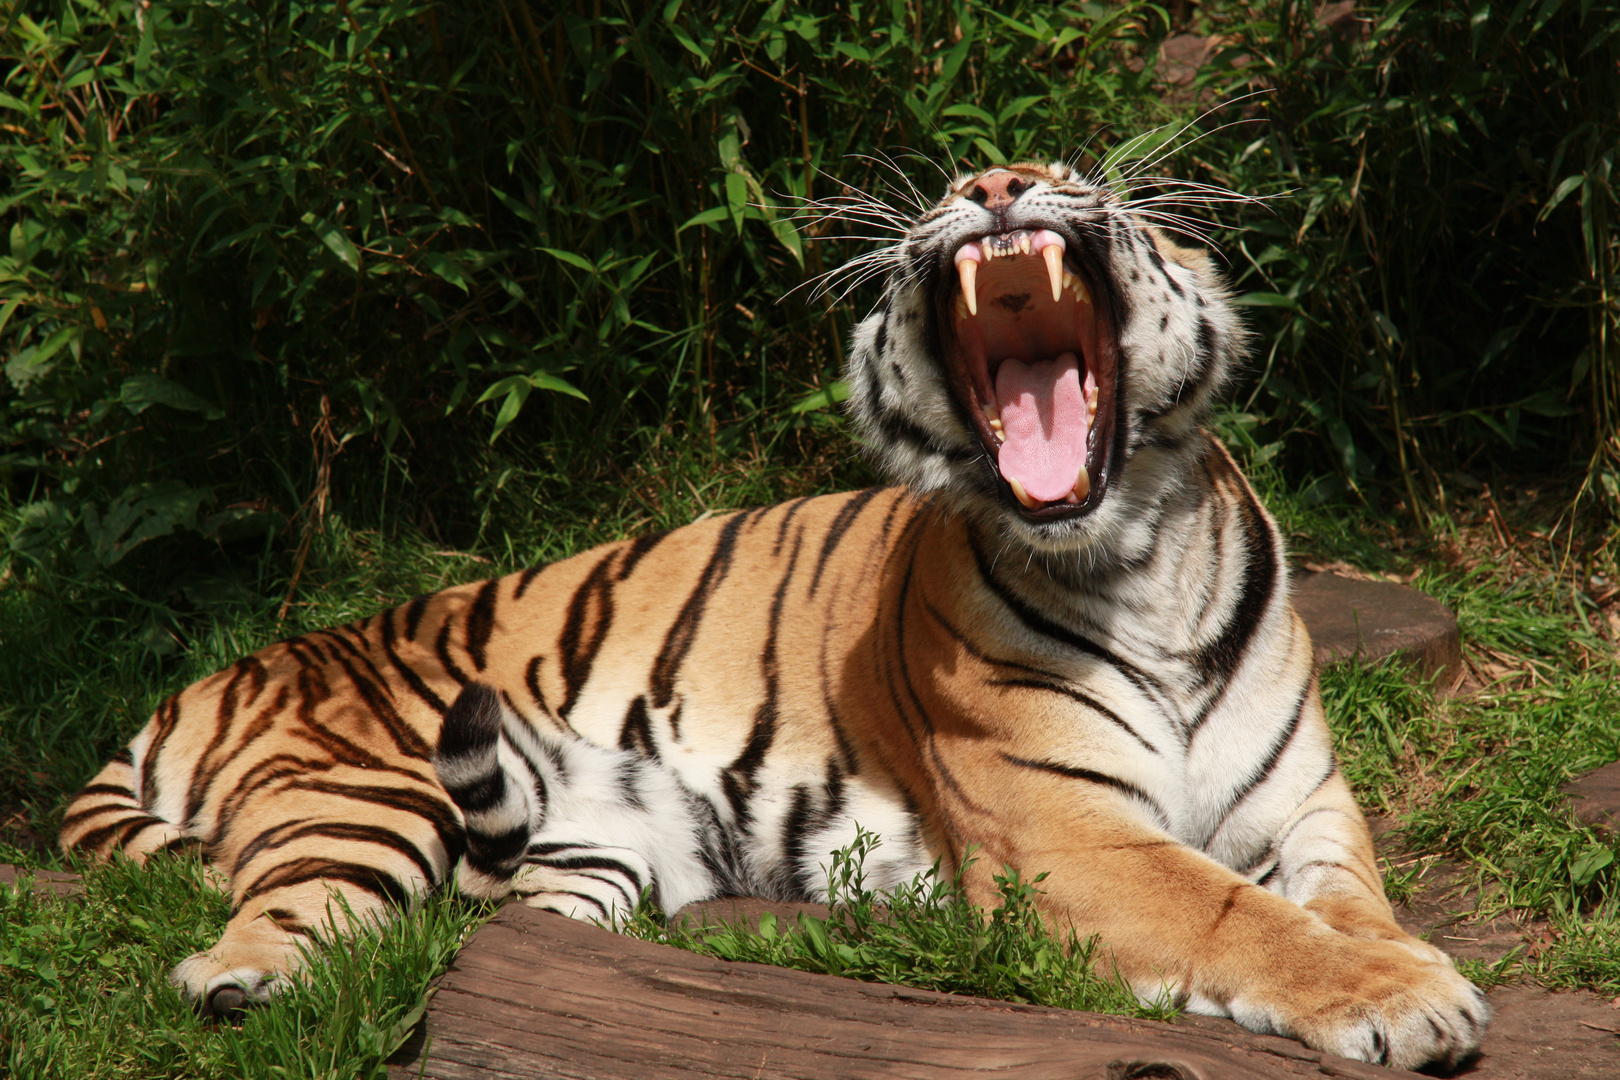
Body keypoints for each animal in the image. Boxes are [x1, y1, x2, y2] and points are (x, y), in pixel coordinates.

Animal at [57, 156, 1483, 1068]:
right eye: (959, 187)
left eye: (1076, 171)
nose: (995, 184)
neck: (1140, 556)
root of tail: (211, 678)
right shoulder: (1068, 836)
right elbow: (1240, 919)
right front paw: (1412, 999)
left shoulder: (1303, 808)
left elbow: (1344, 902)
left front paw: (1396, 964)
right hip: (368, 794)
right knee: (277, 927)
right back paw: (246, 986)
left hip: (596, 860)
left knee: (496, 926)